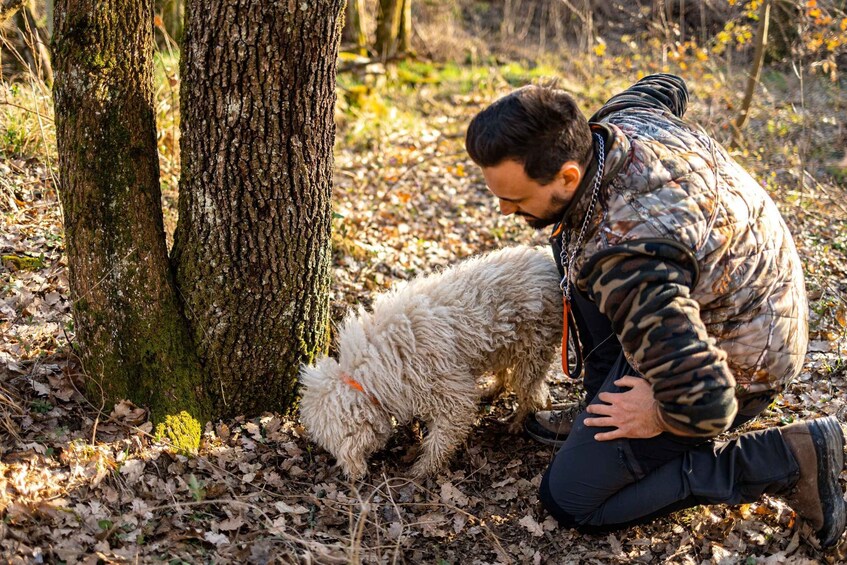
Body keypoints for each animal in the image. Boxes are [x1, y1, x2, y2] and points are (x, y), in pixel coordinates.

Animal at [298, 245, 564, 478]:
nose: (352, 476)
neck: (369, 371)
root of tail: (546, 262)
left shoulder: (452, 396)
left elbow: (442, 439)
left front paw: (422, 469)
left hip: (533, 350)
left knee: (532, 392)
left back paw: (518, 422)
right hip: (503, 346)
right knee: (507, 376)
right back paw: (492, 390)